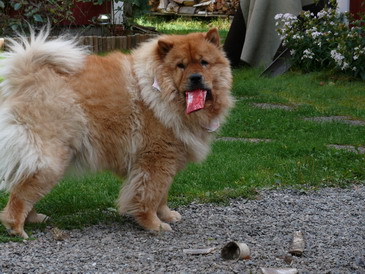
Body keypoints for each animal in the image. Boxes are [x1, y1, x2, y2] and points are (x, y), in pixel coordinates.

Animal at [0, 26, 233, 239]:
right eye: (180, 65)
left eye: (204, 62)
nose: (195, 77)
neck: (162, 92)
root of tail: (27, 76)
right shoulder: (156, 161)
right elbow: (150, 196)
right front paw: (154, 224)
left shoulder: (168, 160)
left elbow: (162, 195)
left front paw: (166, 215)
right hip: (52, 160)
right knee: (21, 194)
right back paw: (17, 229)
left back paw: (35, 219)